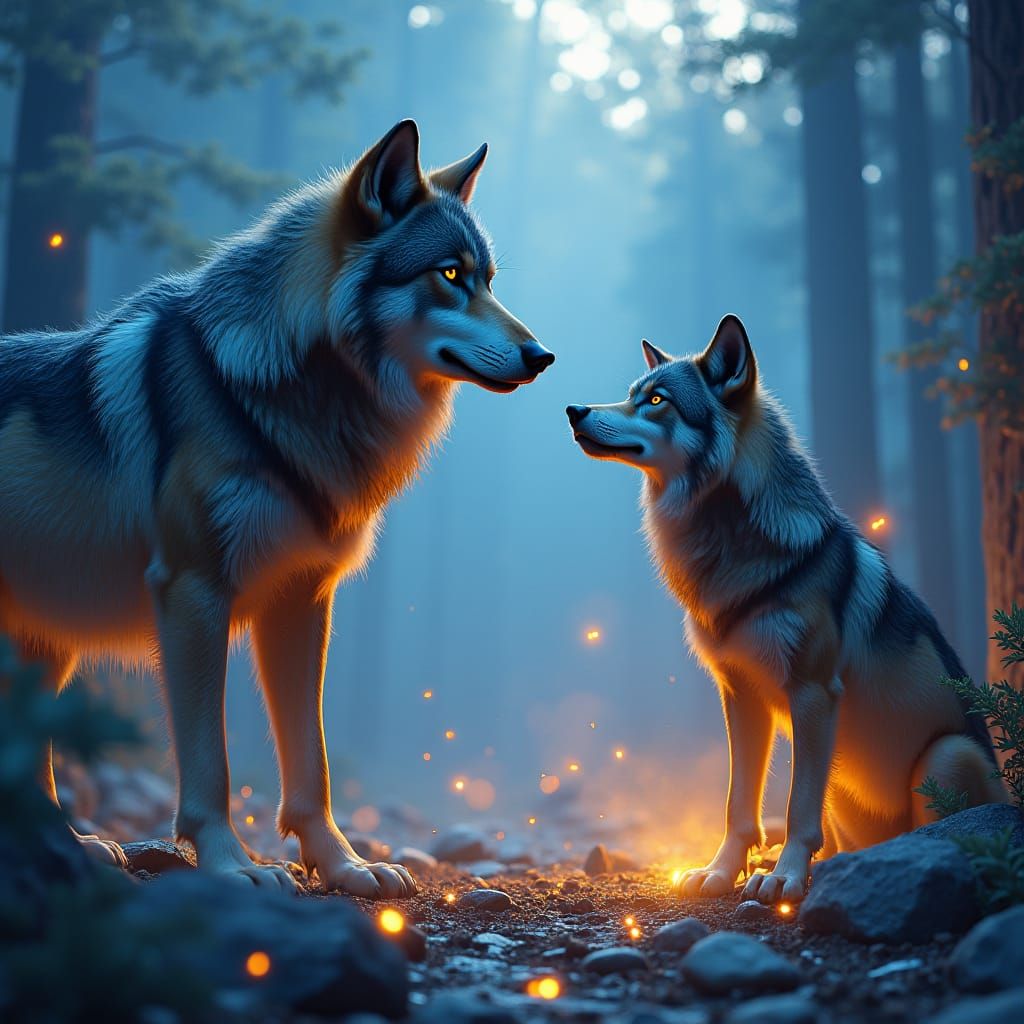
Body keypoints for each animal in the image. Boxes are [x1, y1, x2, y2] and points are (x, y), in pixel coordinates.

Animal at [0, 120, 553, 897]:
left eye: (490, 282)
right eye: (449, 275)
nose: (543, 356)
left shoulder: (303, 600)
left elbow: (310, 764)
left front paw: (344, 864)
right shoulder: (194, 595)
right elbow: (211, 765)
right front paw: (232, 864)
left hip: (52, 643)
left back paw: (74, 849)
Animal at [566, 314, 1004, 903]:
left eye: (656, 400)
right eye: (632, 394)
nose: (574, 410)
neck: (732, 548)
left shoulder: (813, 693)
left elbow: (796, 809)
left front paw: (786, 878)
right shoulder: (740, 696)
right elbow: (738, 805)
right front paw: (721, 872)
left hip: (944, 754)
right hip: (844, 778)